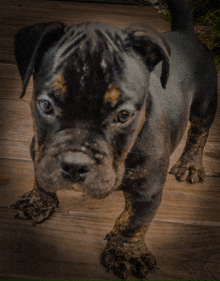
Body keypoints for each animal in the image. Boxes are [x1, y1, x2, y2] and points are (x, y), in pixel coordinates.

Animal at [12, 0, 217, 278]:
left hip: (205, 105)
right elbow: (41, 178)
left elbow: (133, 222)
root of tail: (187, 35)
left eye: (124, 115)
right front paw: (38, 202)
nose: (74, 165)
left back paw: (191, 164)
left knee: (199, 132)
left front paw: (126, 252)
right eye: (45, 105)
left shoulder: (147, 189)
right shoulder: (39, 151)